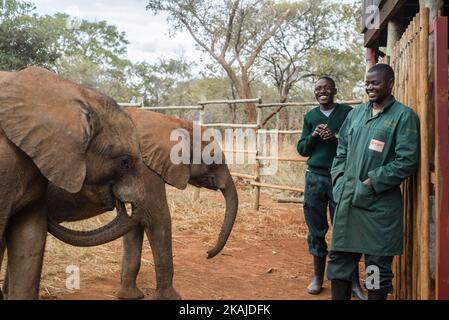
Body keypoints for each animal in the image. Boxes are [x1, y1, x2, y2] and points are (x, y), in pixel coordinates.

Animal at [42, 108, 238, 300]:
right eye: (213, 158)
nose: (207, 254)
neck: (173, 122)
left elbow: (134, 227)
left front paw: (128, 296)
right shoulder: (143, 170)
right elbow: (159, 221)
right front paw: (170, 298)